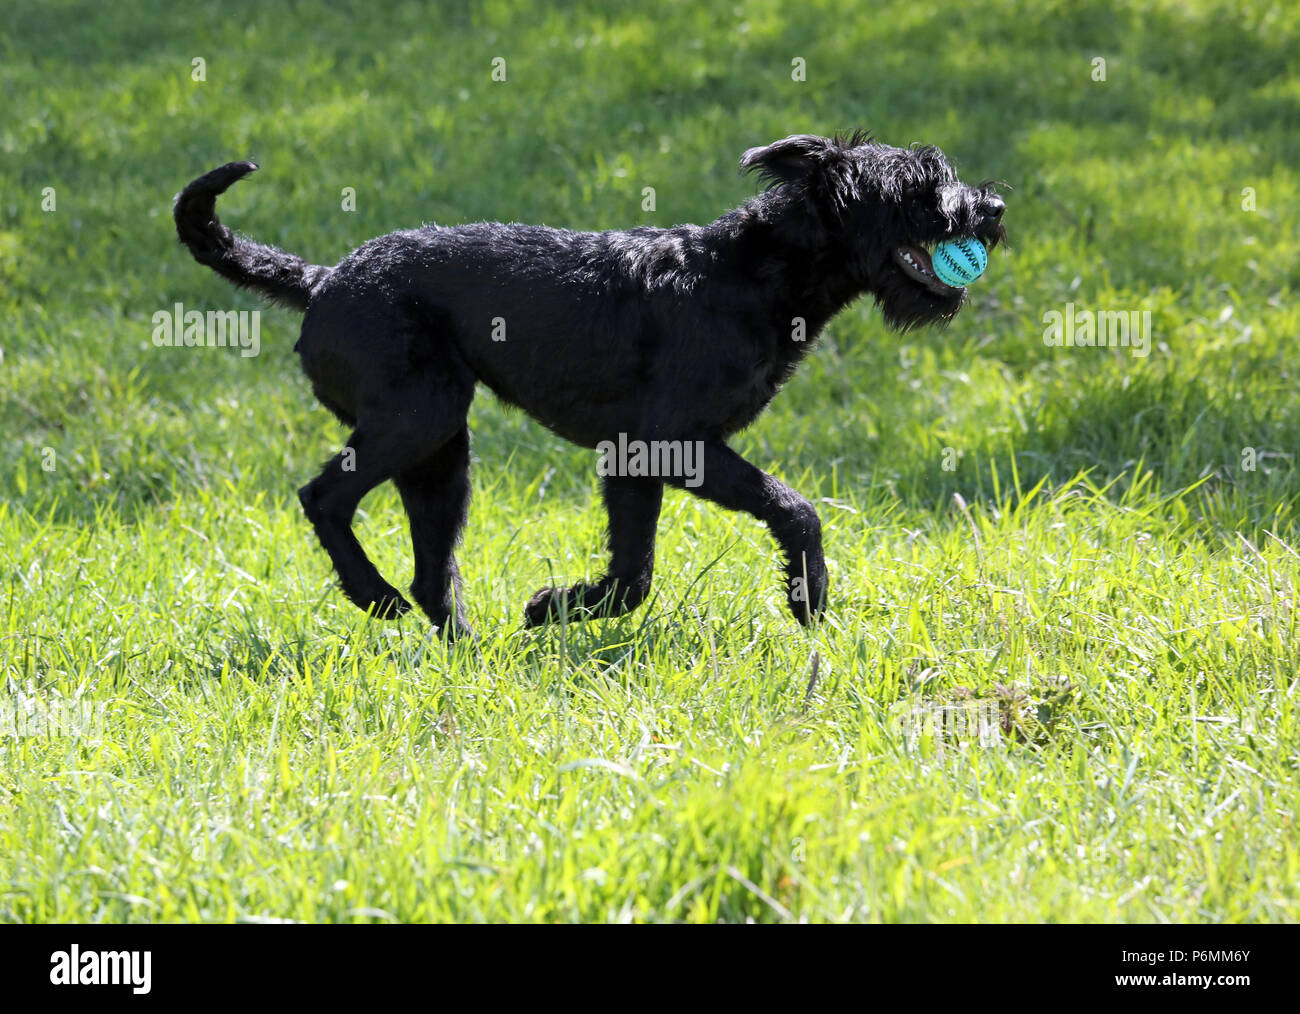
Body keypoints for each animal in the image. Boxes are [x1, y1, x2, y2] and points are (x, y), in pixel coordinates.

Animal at [172, 132, 1003, 642]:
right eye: (923, 185)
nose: (993, 207)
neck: (747, 273)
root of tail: (322, 281)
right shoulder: (672, 445)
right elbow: (794, 509)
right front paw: (809, 598)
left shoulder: (634, 462)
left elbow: (634, 574)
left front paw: (557, 609)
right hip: (417, 419)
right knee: (324, 498)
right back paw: (370, 594)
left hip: (442, 455)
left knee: (432, 570)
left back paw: (465, 651)